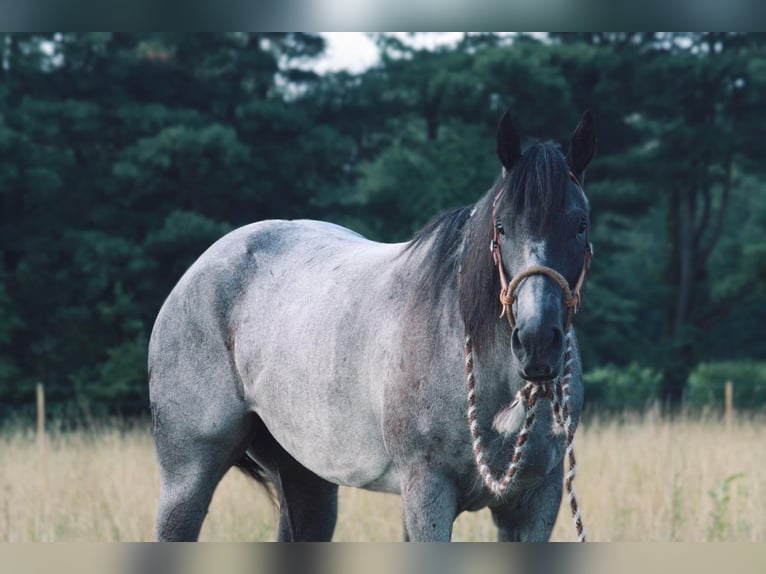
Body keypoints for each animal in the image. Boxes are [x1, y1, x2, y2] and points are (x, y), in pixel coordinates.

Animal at [147, 110, 596, 544]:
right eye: (501, 227)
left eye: (580, 225)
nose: (537, 342)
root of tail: (200, 268)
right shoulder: (426, 492)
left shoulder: (534, 502)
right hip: (189, 472)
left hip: (305, 475)